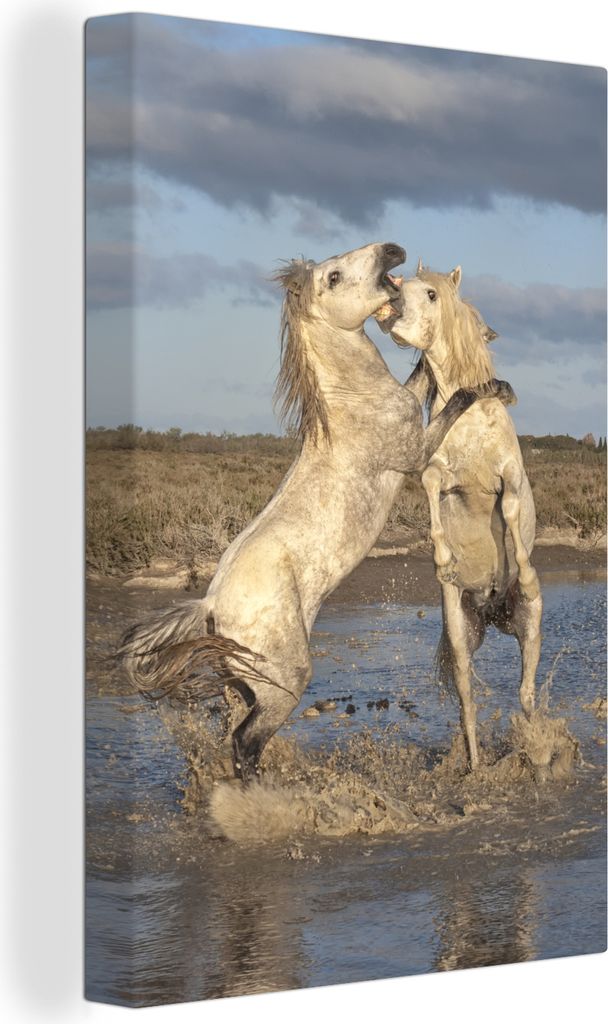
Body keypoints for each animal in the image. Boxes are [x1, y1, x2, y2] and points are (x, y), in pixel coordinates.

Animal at [119, 243, 514, 783]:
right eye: (334, 275)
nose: (393, 250)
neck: (353, 402)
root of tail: (210, 606)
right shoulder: (415, 453)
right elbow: (454, 398)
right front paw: (492, 387)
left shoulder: (410, 403)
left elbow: (423, 376)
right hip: (285, 678)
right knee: (245, 741)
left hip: (245, 681)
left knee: (235, 728)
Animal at [378, 261, 542, 773]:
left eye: (431, 293)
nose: (390, 290)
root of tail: (492, 609)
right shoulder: (437, 470)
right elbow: (432, 487)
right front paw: (442, 560)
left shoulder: (508, 475)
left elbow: (510, 512)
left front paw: (526, 572)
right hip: (459, 633)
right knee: (469, 699)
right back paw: (475, 764)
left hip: (530, 626)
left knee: (527, 694)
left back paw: (537, 749)